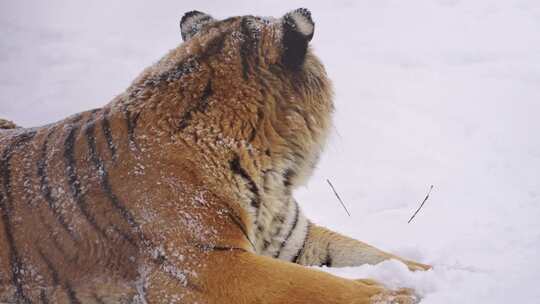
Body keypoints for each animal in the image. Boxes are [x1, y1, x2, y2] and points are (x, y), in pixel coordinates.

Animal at [0, 8, 430, 302]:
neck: (271, 175)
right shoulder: (206, 263)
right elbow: (317, 287)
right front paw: (397, 295)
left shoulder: (293, 241)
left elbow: (375, 254)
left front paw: (430, 273)